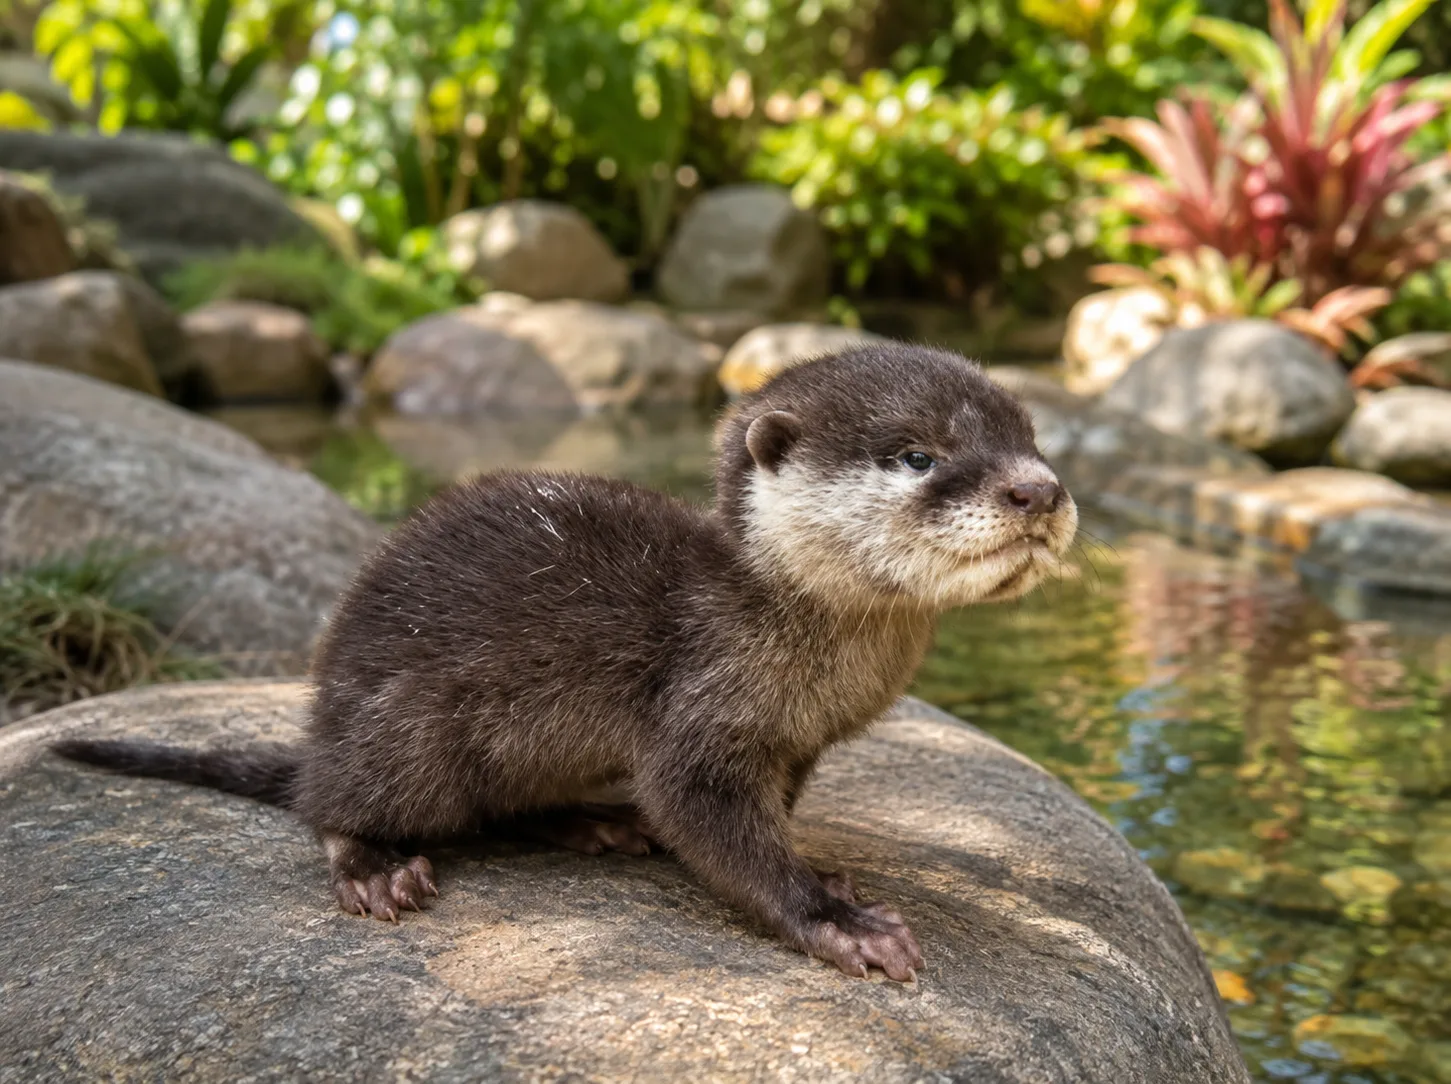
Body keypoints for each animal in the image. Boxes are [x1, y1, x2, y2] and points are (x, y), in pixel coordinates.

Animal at [53, 343, 1078, 983]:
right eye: (917, 455)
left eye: (1031, 442)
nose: (1038, 489)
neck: (804, 650)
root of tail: (326, 718)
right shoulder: (699, 708)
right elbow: (705, 820)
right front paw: (837, 921)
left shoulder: (798, 746)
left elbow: (768, 822)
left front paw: (825, 878)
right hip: (404, 727)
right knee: (333, 803)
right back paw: (375, 863)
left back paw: (591, 823)